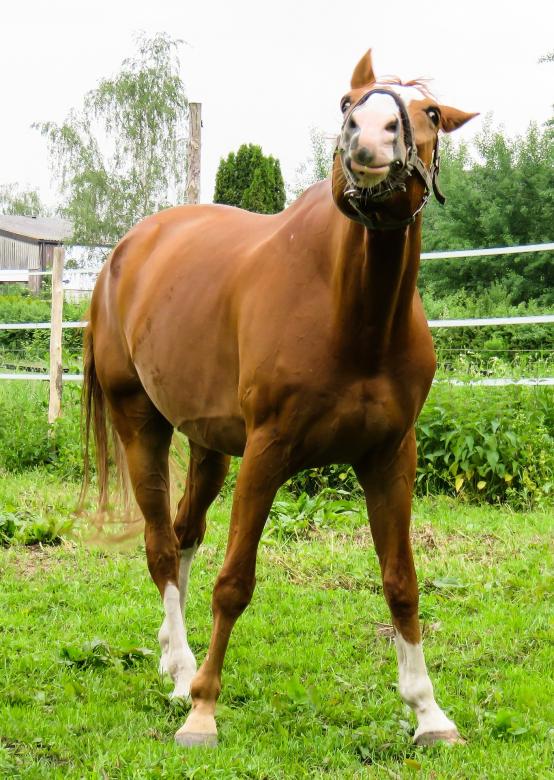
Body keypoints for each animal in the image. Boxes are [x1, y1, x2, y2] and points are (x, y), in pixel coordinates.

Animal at [82, 49, 477, 748]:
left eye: (430, 113)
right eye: (346, 103)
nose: (368, 139)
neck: (354, 315)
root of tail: (124, 254)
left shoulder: (389, 458)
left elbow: (402, 583)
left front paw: (429, 713)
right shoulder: (267, 454)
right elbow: (234, 582)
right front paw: (204, 710)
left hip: (209, 446)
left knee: (183, 537)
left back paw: (171, 657)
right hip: (140, 424)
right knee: (161, 546)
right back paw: (183, 674)